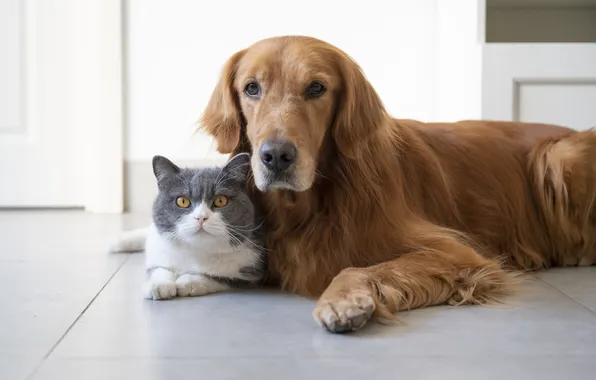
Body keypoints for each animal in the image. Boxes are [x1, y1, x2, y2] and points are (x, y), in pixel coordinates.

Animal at [112, 154, 266, 300]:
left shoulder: (251, 271)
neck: (196, 251)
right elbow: (159, 268)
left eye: (221, 200)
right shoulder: (159, 251)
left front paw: (187, 281)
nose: (201, 217)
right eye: (182, 201)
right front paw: (160, 284)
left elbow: (218, 276)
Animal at [200, 35, 596, 332]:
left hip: (558, 156)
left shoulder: (457, 253)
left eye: (316, 88)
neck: (314, 204)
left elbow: (359, 267)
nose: (276, 156)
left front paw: (342, 299)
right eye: (252, 88)